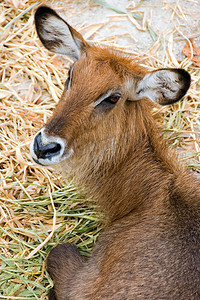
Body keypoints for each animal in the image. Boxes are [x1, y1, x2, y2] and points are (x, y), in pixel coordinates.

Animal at [29, 5, 200, 300]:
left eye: (112, 97)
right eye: (70, 75)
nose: (45, 146)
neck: (152, 197)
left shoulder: (81, 284)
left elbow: (58, 251)